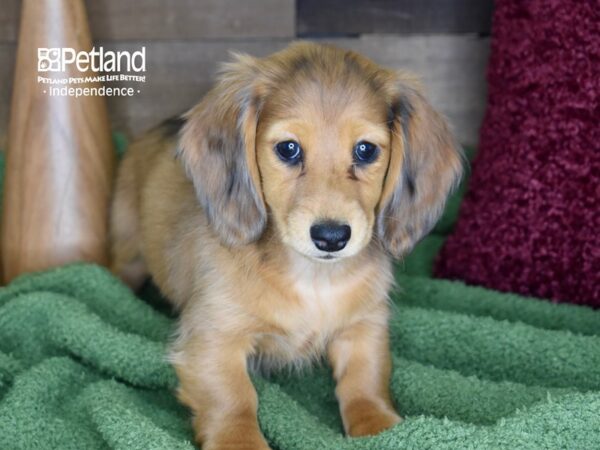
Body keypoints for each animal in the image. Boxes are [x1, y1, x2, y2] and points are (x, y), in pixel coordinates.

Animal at [109, 43, 464, 450]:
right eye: (288, 149)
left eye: (365, 150)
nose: (331, 237)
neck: (312, 277)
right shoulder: (214, 337)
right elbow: (234, 399)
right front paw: (240, 440)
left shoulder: (364, 326)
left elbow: (366, 382)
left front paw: (383, 428)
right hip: (128, 251)